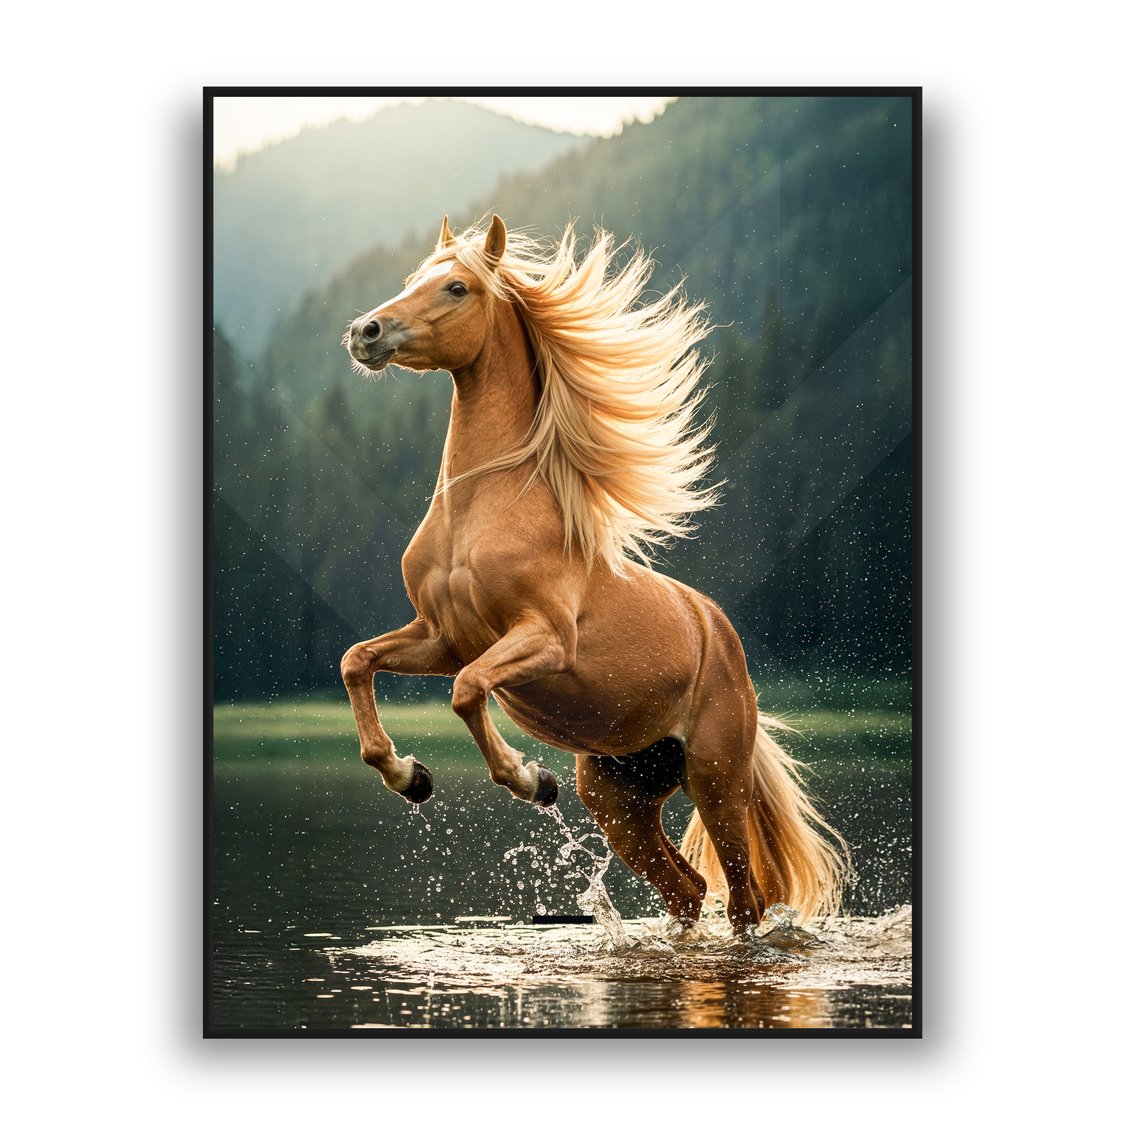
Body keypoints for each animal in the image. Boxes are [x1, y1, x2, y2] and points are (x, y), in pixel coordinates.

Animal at [340, 215, 848, 932]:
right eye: (413, 278)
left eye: (457, 287)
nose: (366, 332)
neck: (482, 509)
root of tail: (721, 637)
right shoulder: (442, 636)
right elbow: (358, 660)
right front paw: (408, 775)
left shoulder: (543, 639)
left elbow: (467, 691)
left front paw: (530, 779)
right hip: (620, 797)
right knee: (687, 889)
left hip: (716, 778)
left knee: (742, 899)